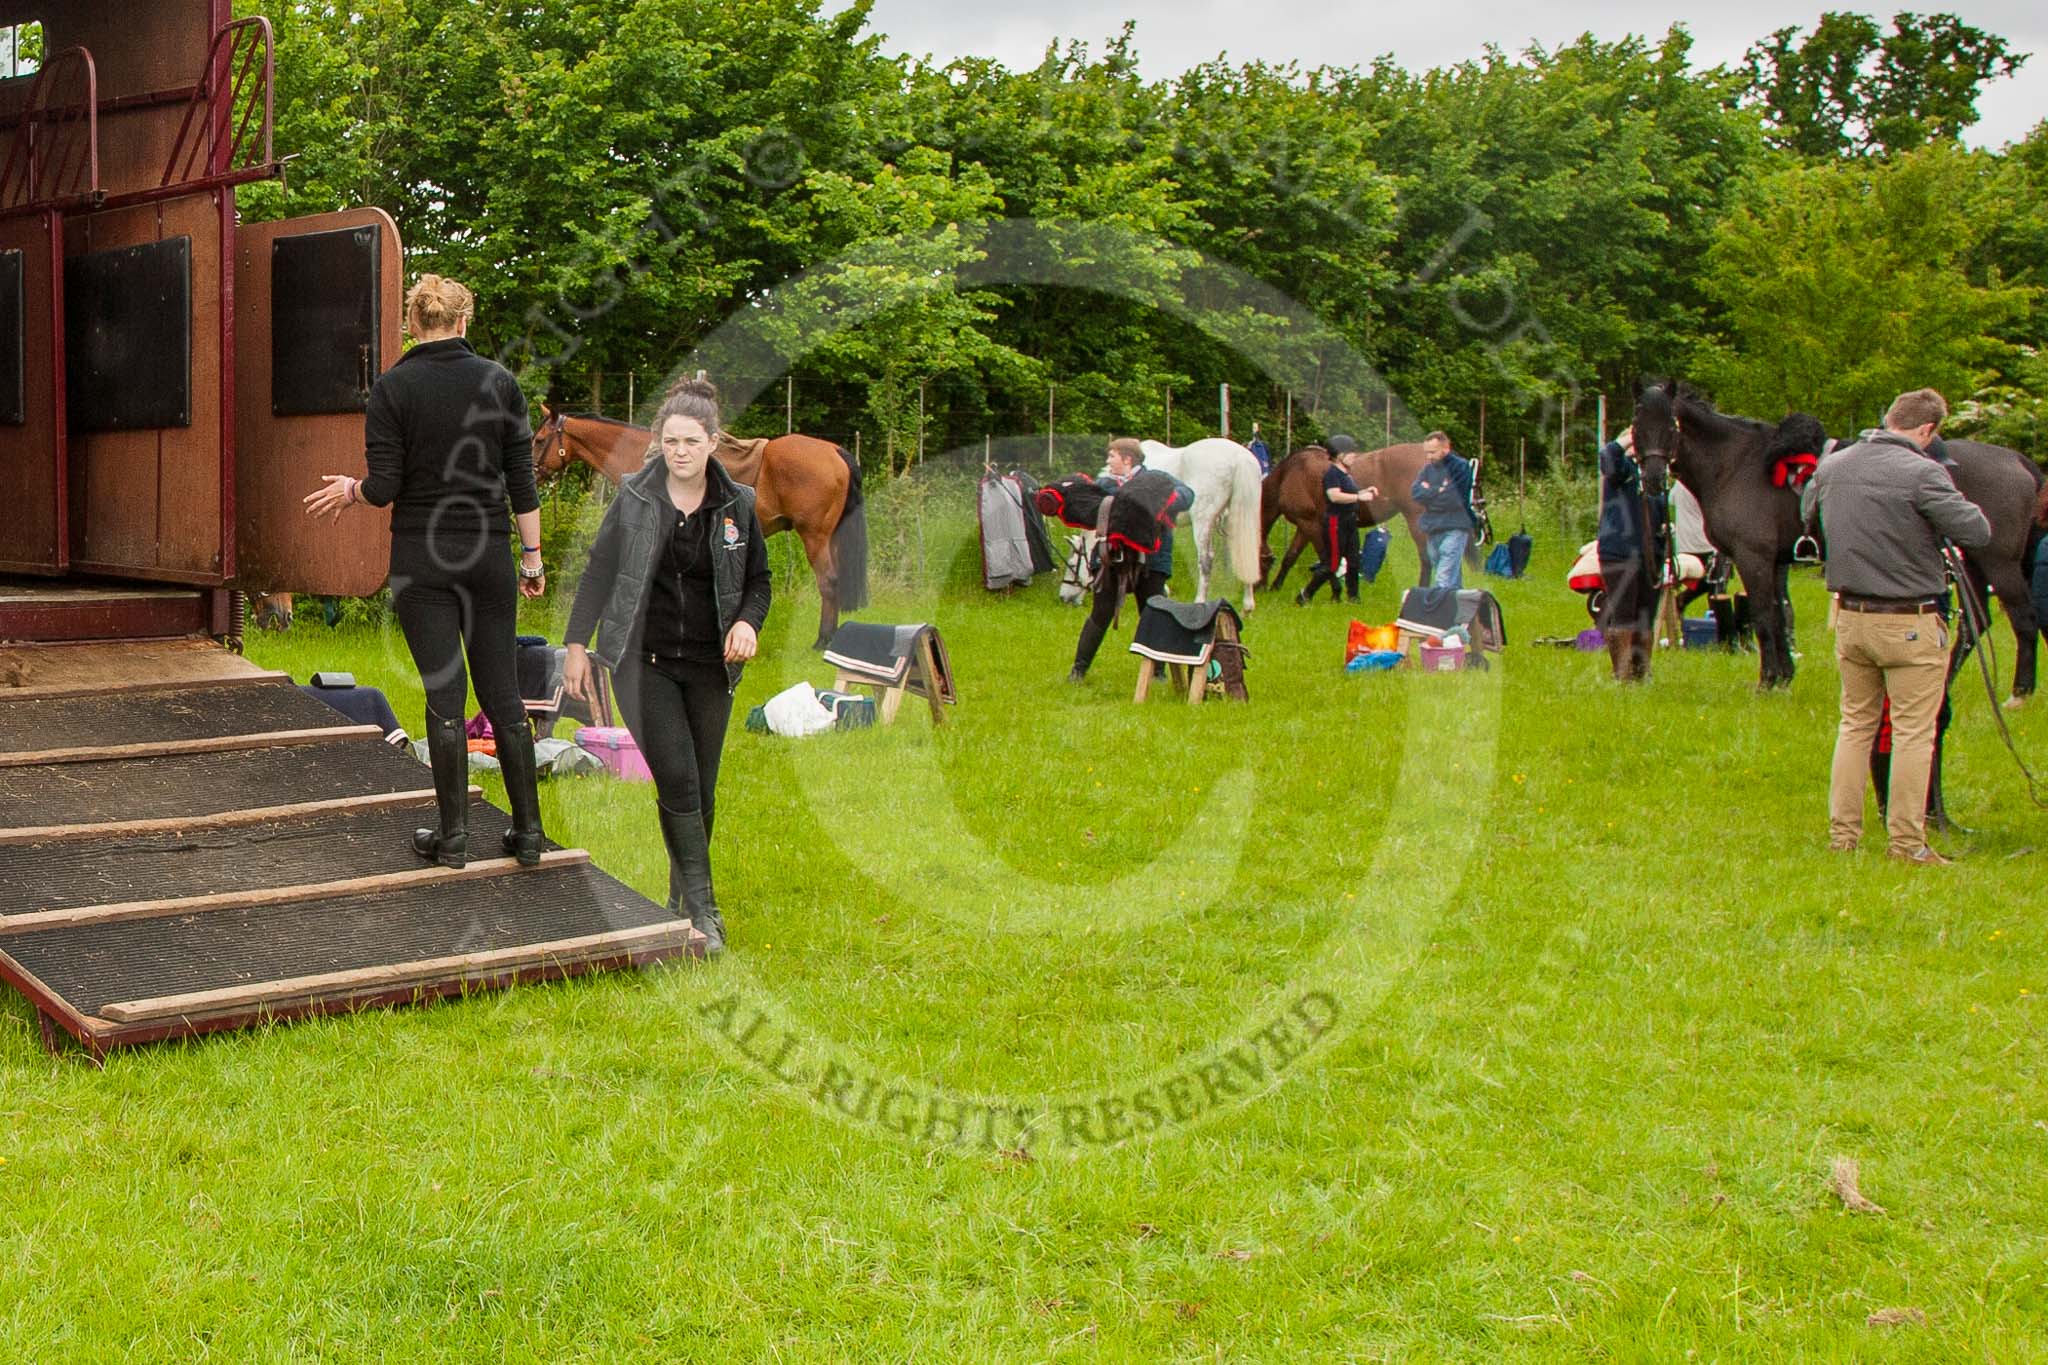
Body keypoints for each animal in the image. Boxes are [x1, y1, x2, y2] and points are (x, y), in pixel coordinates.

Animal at [536, 403, 864, 650]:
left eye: (539, 439)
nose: (532, 470)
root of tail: (835, 451)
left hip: (815, 536)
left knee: (829, 581)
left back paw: (822, 640)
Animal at [1253, 444, 1433, 593]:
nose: (1259, 589)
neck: (1288, 473)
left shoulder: (1310, 524)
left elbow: (1325, 558)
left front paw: (1336, 592)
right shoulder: (1305, 525)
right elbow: (1291, 556)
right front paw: (1276, 587)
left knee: (1427, 559)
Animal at [1630, 384, 2048, 699]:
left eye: (1671, 425)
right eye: (1637, 424)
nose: (1651, 478)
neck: (1737, 464)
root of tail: (2018, 461)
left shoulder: (1754, 559)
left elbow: (1764, 617)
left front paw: (1767, 681)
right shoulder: (1777, 562)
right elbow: (1779, 617)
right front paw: (1783, 676)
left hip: (1998, 563)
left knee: (2024, 619)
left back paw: (2020, 693)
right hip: (1972, 563)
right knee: (1974, 626)